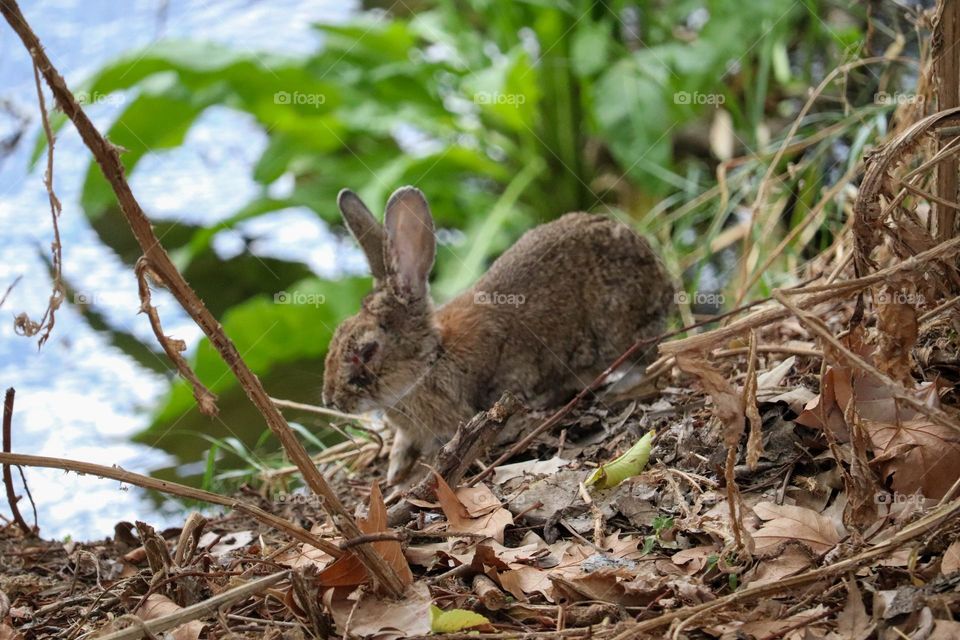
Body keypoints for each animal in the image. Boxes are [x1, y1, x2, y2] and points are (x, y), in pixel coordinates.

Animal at [326, 188, 672, 482]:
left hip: (619, 329)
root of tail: (659, 272)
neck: (432, 360)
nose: (332, 401)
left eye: (366, 351)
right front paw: (395, 472)